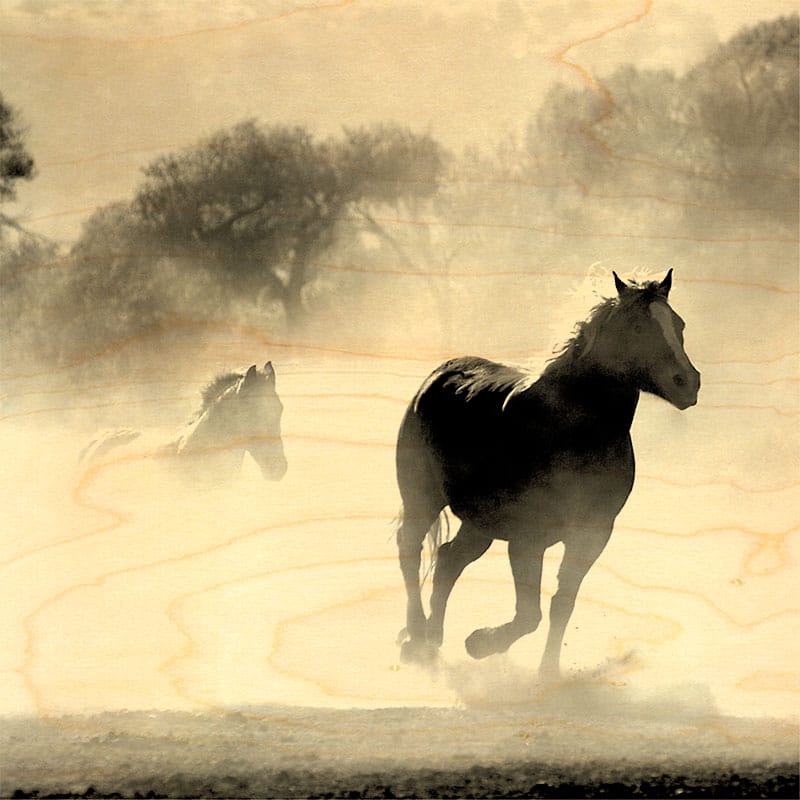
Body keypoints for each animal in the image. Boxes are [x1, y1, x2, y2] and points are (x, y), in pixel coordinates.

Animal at [395, 270, 700, 678]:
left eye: (679, 324)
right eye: (638, 327)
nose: (688, 382)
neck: (573, 430)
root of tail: (437, 376)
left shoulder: (591, 535)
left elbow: (560, 605)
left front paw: (548, 673)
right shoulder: (528, 537)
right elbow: (529, 614)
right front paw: (480, 643)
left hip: (479, 523)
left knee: (447, 561)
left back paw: (432, 641)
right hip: (422, 498)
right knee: (410, 548)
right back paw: (416, 638)